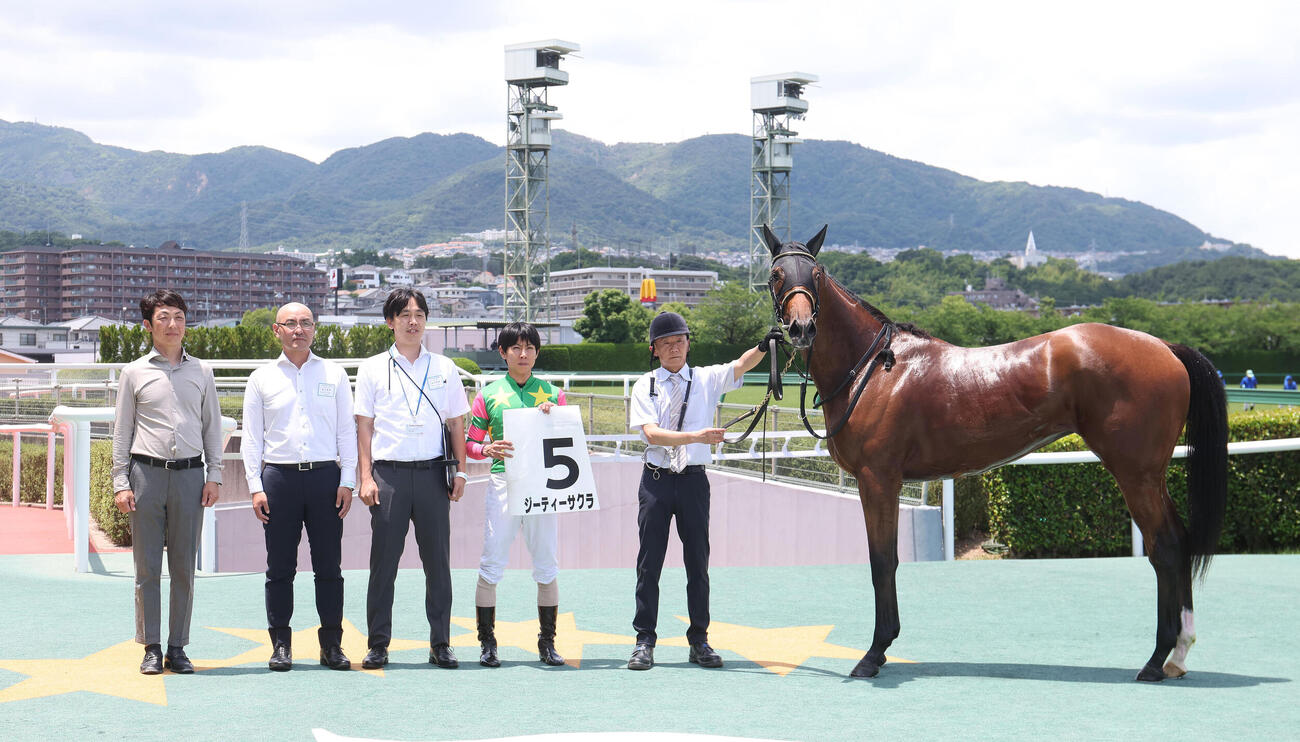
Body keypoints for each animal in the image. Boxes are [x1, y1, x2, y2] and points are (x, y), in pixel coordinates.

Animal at [763, 225, 1228, 682]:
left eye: (816, 273)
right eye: (776, 275)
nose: (801, 328)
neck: (875, 368)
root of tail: (1165, 347)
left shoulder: (878, 481)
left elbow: (883, 562)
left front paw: (874, 653)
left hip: (1136, 473)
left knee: (1165, 547)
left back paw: (1155, 660)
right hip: (1152, 475)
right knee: (1179, 540)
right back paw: (1177, 655)